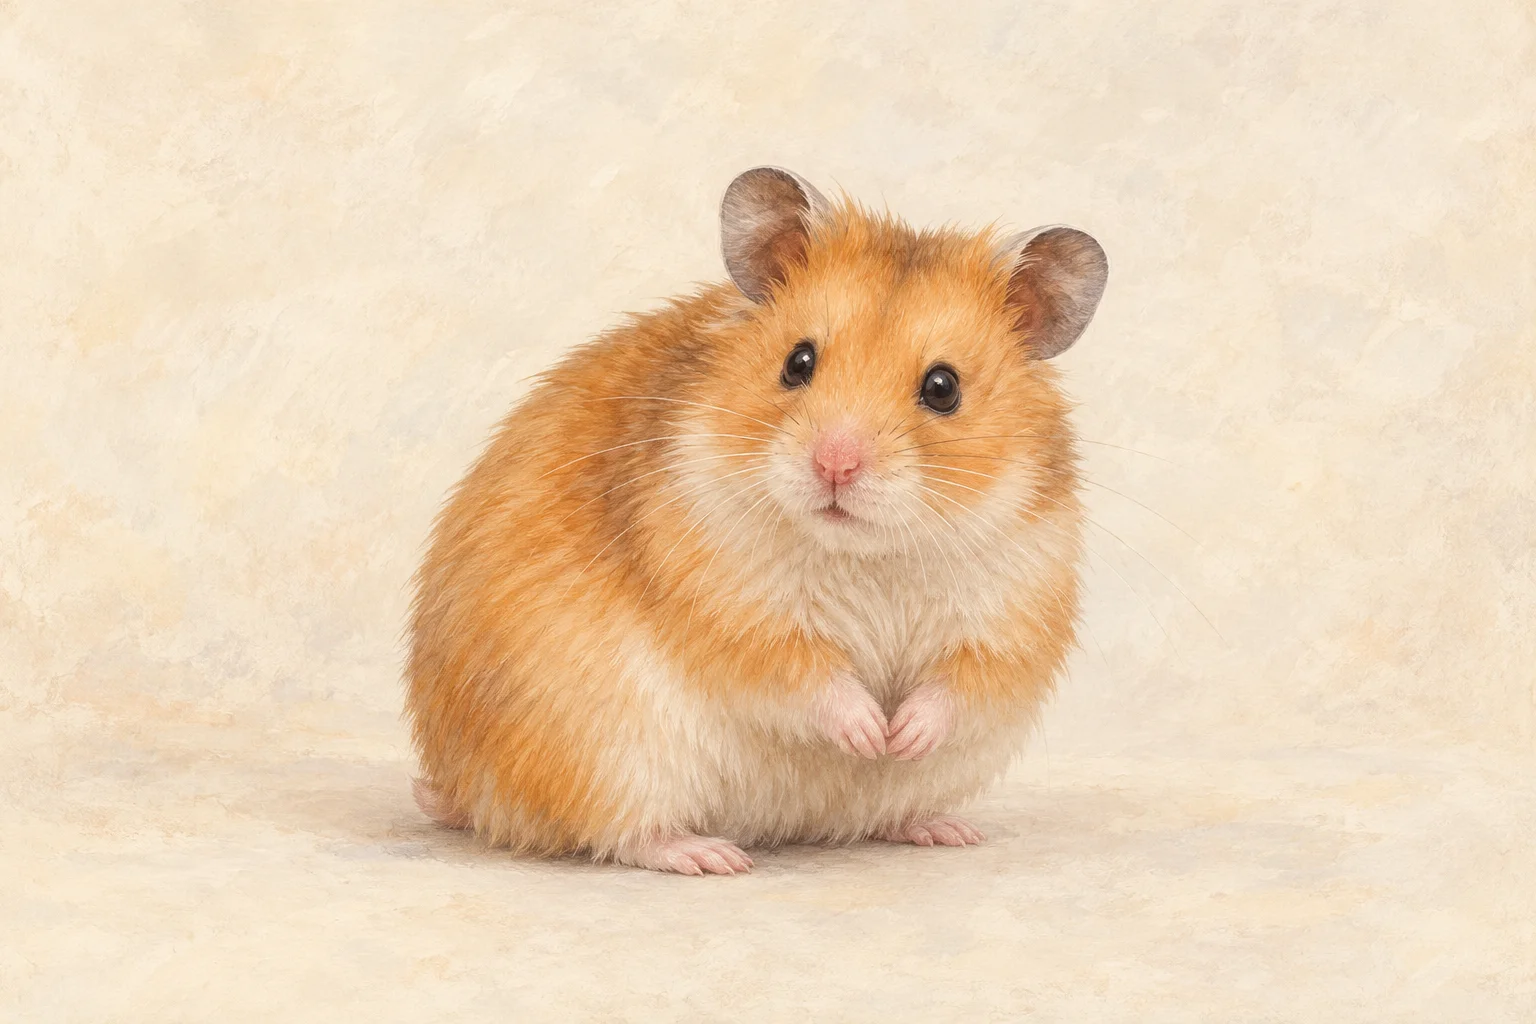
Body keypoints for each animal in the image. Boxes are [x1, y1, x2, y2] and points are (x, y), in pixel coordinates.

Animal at [406, 167, 1107, 875]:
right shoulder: (732, 610)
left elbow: (961, 686)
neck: (867, 551)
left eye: (944, 387)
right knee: (620, 835)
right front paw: (869, 734)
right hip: (606, 752)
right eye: (798, 362)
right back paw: (712, 856)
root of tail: (463, 783)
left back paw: (944, 829)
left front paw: (899, 738)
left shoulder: (1014, 618)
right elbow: (806, 675)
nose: (834, 465)